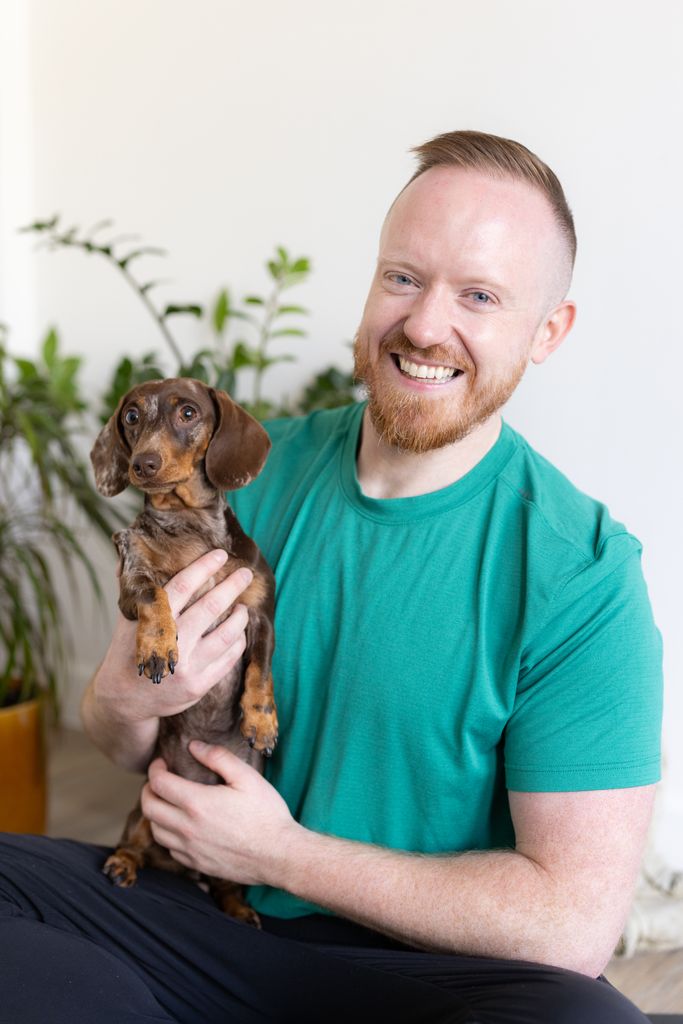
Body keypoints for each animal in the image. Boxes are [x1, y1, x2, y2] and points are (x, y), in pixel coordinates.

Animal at [90, 378, 278, 929]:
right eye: (131, 416)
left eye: (189, 413)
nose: (143, 465)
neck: (189, 526)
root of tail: (183, 867)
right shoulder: (132, 577)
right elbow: (155, 594)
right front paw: (158, 647)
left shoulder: (259, 613)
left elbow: (260, 671)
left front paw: (261, 721)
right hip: (143, 811)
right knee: (134, 842)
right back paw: (123, 864)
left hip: (226, 864)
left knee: (224, 883)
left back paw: (238, 907)